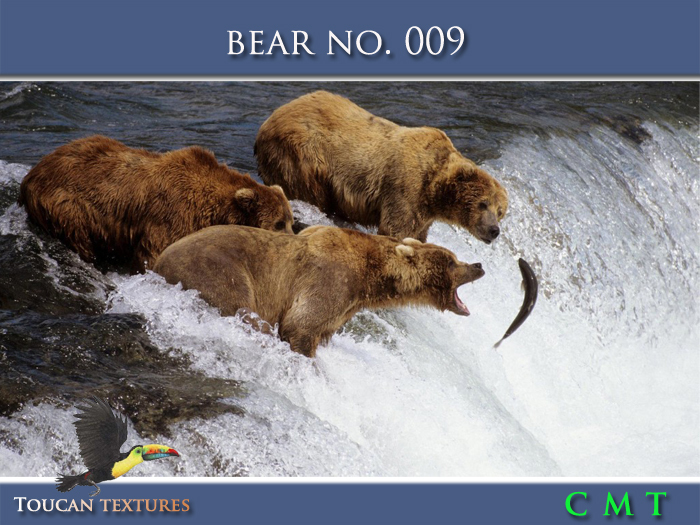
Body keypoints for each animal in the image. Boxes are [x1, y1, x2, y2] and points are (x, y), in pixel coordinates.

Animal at [19, 135, 294, 273]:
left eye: (291, 221)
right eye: (278, 223)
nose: (293, 240)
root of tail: (31, 174)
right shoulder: (171, 216)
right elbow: (154, 254)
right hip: (67, 204)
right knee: (78, 236)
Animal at [153, 224, 485, 357]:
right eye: (452, 261)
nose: (479, 264)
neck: (369, 277)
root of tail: (157, 262)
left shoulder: (344, 306)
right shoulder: (330, 280)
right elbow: (300, 324)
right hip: (218, 271)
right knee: (243, 309)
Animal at [254, 90, 508, 243]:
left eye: (500, 211)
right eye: (483, 203)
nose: (494, 230)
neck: (434, 189)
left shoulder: (424, 213)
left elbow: (418, 234)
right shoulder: (405, 188)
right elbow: (396, 229)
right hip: (302, 155)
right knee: (309, 191)